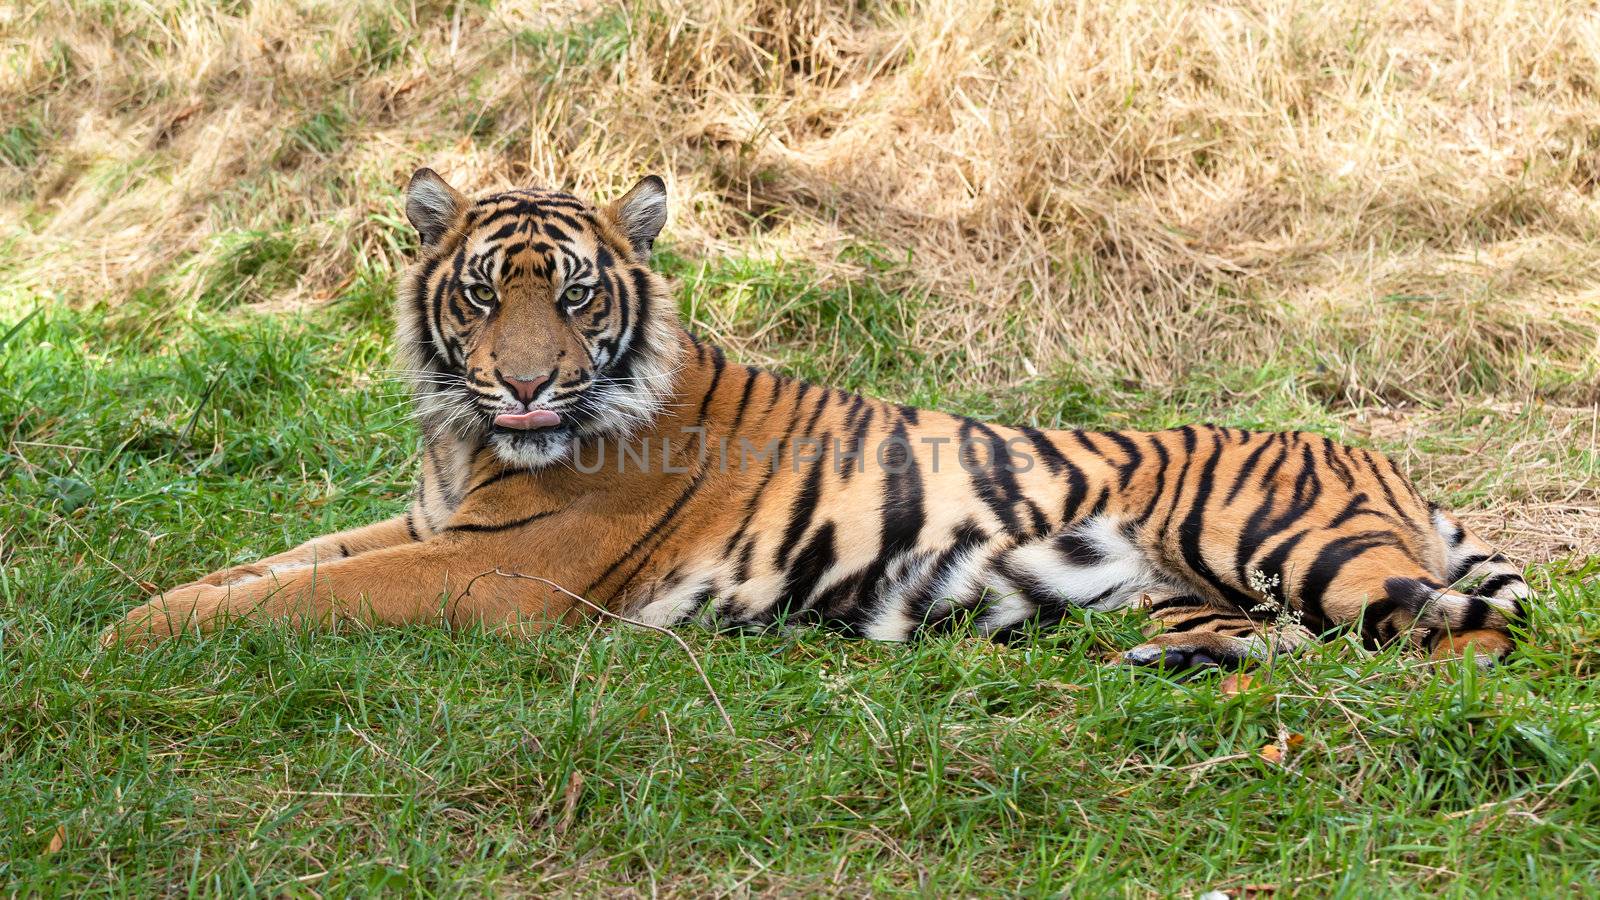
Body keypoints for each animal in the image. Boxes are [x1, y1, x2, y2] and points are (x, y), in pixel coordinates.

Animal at [103, 168, 1536, 666]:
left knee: (1458, 639)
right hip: (1201, 590)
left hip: (1296, 549)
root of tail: (1383, 461)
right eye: (482, 293)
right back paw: (1154, 665)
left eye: (571, 297)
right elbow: (271, 566)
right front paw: (129, 611)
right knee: (1271, 644)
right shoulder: (427, 525)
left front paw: (126, 639)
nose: (522, 385)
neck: (464, 446)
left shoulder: (498, 569)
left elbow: (301, 594)